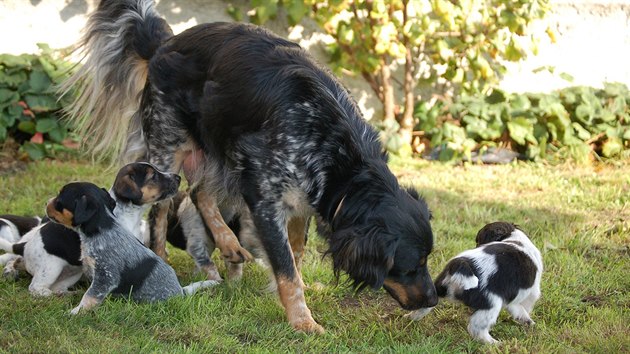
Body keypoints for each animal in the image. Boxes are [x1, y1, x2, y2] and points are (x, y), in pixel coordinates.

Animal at [63, 0, 440, 332]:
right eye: (411, 266)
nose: (435, 300)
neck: (342, 156)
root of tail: (162, 45)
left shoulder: (302, 198)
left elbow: (296, 255)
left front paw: (301, 296)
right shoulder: (264, 198)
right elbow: (286, 269)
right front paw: (303, 322)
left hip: (218, 151)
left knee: (200, 193)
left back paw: (229, 245)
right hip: (168, 148)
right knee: (161, 210)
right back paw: (164, 256)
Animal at [408, 223, 544, 344]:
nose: (476, 245)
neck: (514, 238)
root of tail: (461, 266)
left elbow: (518, 309)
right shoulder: (532, 291)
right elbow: (526, 307)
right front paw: (529, 322)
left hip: (437, 290)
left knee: (424, 307)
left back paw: (410, 317)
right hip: (491, 305)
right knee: (476, 329)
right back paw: (494, 344)